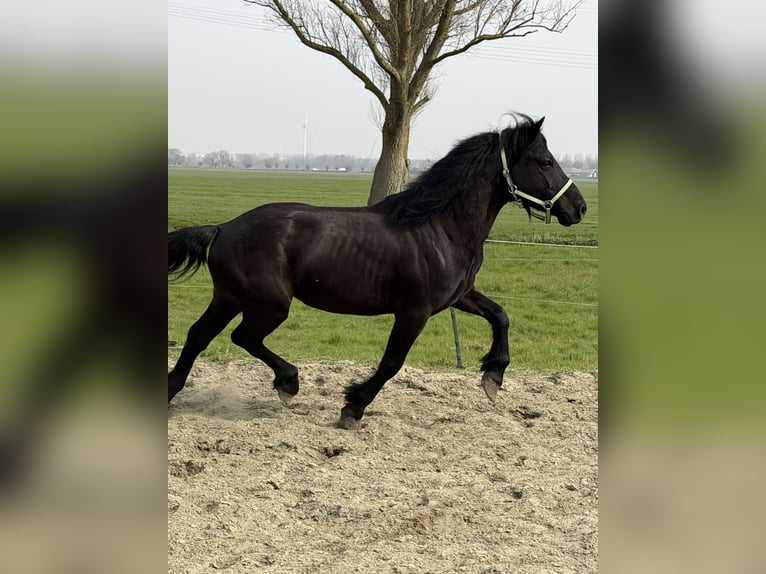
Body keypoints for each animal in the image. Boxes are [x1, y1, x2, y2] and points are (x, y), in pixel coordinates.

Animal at [168, 115, 586, 429]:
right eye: (545, 162)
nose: (578, 208)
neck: (440, 227)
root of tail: (223, 228)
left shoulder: (460, 296)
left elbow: (500, 315)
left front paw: (493, 377)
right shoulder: (414, 312)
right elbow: (391, 362)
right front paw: (353, 406)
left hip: (229, 297)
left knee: (198, 336)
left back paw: (172, 390)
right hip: (268, 304)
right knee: (243, 337)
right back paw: (289, 382)